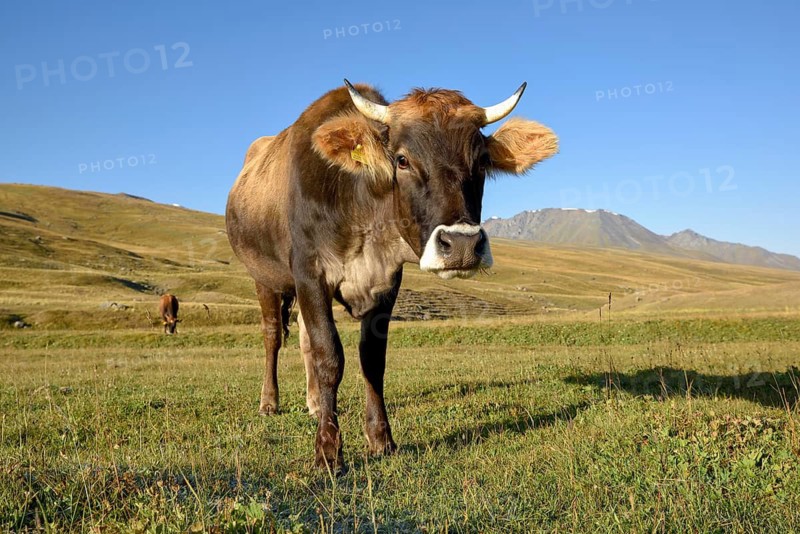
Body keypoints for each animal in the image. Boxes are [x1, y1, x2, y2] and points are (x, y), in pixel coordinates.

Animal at [226, 80, 558, 469]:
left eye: (482, 161)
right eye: (401, 159)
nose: (462, 244)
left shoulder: (387, 282)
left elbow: (371, 359)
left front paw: (380, 439)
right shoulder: (310, 273)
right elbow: (329, 355)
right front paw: (328, 450)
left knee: (305, 338)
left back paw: (314, 403)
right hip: (265, 278)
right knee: (273, 337)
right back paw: (270, 402)